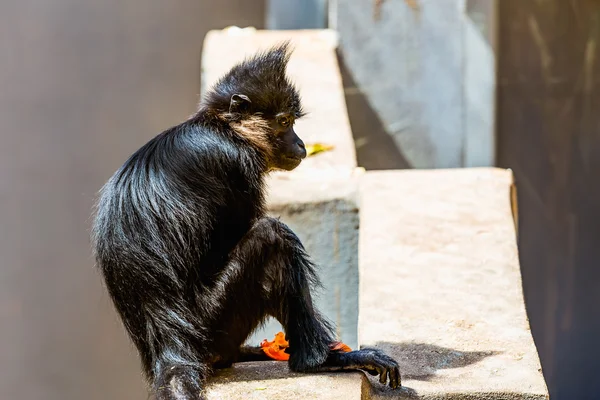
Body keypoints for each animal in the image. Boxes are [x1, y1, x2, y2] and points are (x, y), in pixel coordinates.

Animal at [91, 42, 400, 398]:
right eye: (284, 122)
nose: (301, 144)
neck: (222, 127)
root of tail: (170, 349)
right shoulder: (237, 162)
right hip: (214, 325)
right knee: (272, 236)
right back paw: (318, 361)